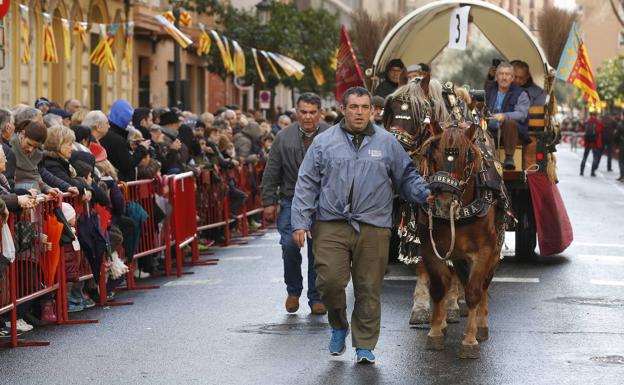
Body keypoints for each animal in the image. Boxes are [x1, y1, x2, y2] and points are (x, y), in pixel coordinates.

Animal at [416, 123, 504, 356]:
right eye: (432, 156)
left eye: (467, 159)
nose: (444, 201)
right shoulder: (429, 247)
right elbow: (439, 287)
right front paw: (436, 331)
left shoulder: (485, 250)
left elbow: (474, 291)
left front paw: (470, 340)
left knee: (484, 284)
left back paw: (481, 324)